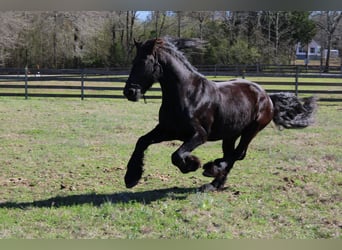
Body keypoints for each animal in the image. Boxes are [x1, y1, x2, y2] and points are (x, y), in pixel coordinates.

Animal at [122, 37, 316, 191]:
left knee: (238, 154)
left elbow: (176, 155)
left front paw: (193, 164)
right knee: (232, 154)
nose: (129, 92)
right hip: (230, 134)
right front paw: (131, 178)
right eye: (133, 61)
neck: (187, 94)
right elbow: (142, 141)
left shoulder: (200, 135)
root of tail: (267, 96)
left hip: (251, 130)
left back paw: (212, 171)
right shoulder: (167, 130)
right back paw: (215, 181)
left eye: (144, 62)